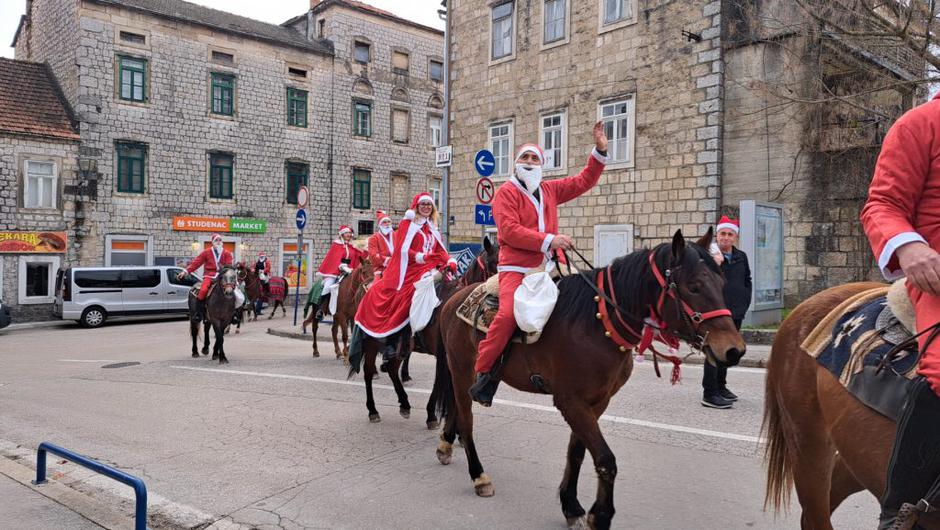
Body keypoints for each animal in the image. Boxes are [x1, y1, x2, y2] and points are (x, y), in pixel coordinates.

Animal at [430, 230, 744, 528]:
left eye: (721, 283)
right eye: (694, 286)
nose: (734, 350)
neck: (596, 322)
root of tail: (454, 298)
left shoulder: (596, 402)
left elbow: (577, 453)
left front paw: (571, 506)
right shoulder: (571, 402)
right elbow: (605, 459)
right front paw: (601, 515)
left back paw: (445, 445)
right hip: (461, 369)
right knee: (467, 420)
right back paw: (478, 476)